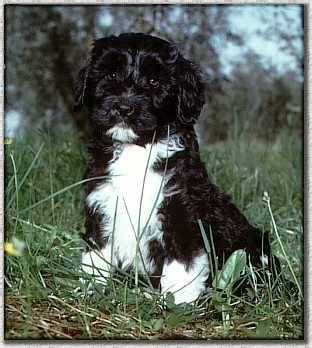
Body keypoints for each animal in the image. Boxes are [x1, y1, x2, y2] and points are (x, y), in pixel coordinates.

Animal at [73, 33, 272, 304]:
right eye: (111, 74)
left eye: (154, 81)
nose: (124, 107)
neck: (138, 149)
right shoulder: (102, 204)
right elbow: (97, 252)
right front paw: (91, 286)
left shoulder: (182, 212)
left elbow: (183, 261)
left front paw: (179, 300)